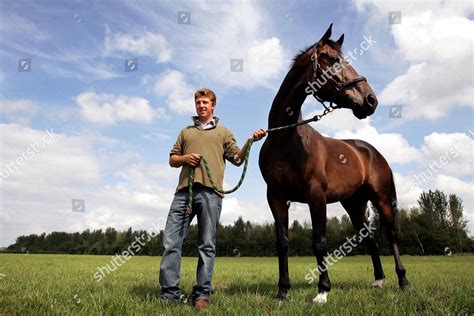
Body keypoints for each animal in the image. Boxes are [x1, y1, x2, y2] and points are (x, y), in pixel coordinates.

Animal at [258, 23, 410, 302]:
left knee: (392, 235)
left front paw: (322, 291)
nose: (371, 100)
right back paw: (378, 280)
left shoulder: (316, 195)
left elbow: (319, 242)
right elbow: (282, 243)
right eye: (334, 59)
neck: (286, 138)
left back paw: (403, 281)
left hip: (381, 199)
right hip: (354, 204)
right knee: (370, 239)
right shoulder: (275, 197)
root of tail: (372, 151)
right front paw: (283, 291)